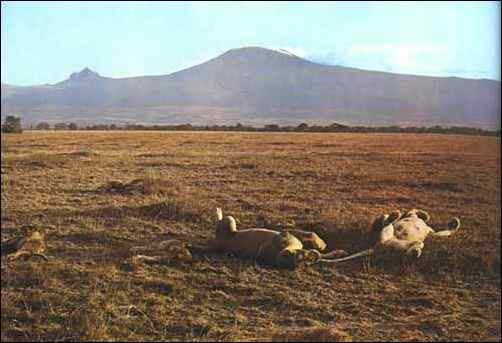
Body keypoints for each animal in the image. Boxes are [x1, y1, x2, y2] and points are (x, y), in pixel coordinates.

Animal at [316, 208, 460, 264]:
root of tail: (375, 248)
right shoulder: (414, 217)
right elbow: (413, 210)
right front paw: (426, 215)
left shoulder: (431, 232)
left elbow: (445, 232)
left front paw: (454, 223)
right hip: (388, 236)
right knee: (386, 223)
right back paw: (393, 216)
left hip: (396, 244)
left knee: (416, 245)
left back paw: (415, 252)